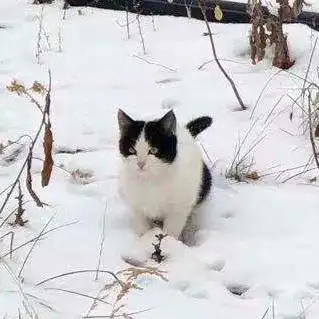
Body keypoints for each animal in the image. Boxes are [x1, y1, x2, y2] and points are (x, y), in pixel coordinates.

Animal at [117, 109, 212, 241]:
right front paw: (144, 241)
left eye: (154, 150)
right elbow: (142, 226)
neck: (151, 181)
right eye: (131, 150)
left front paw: (168, 243)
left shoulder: (179, 208)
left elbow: (171, 230)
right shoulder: (136, 205)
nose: (140, 163)